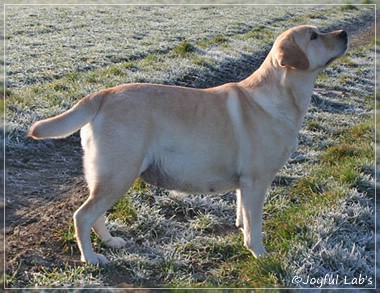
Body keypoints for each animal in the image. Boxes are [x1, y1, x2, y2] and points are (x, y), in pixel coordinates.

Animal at [29, 24, 348, 262]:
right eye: (314, 36)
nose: (344, 33)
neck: (281, 96)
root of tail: (103, 93)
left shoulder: (245, 184)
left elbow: (243, 214)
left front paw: (244, 232)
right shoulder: (257, 181)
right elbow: (255, 223)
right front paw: (259, 252)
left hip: (109, 177)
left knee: (95, 215)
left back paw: (110, 242)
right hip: (118, 174)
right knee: (82, 216)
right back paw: (92, 258)